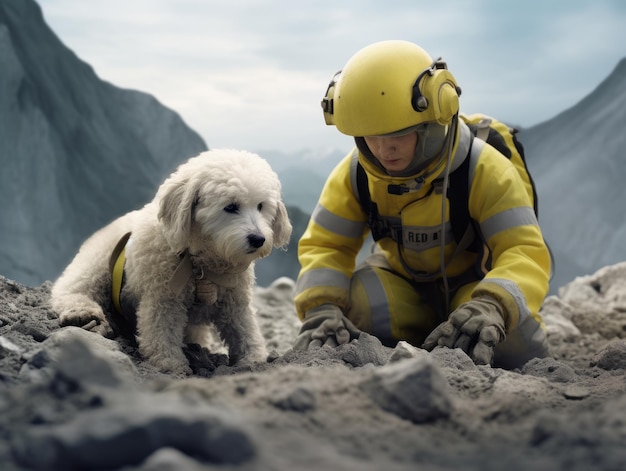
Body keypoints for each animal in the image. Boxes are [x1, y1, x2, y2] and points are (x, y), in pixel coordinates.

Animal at [50, 151, 290, 376]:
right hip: (97, 264)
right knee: (72, 289)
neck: (199, 263)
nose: (258, 239)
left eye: (261, 206)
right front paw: (170, 363)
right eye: (230, 207)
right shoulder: (163, 296)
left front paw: (253, 359)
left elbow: (244, 328)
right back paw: (82, 312)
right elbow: (162, 330)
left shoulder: (235, 297)